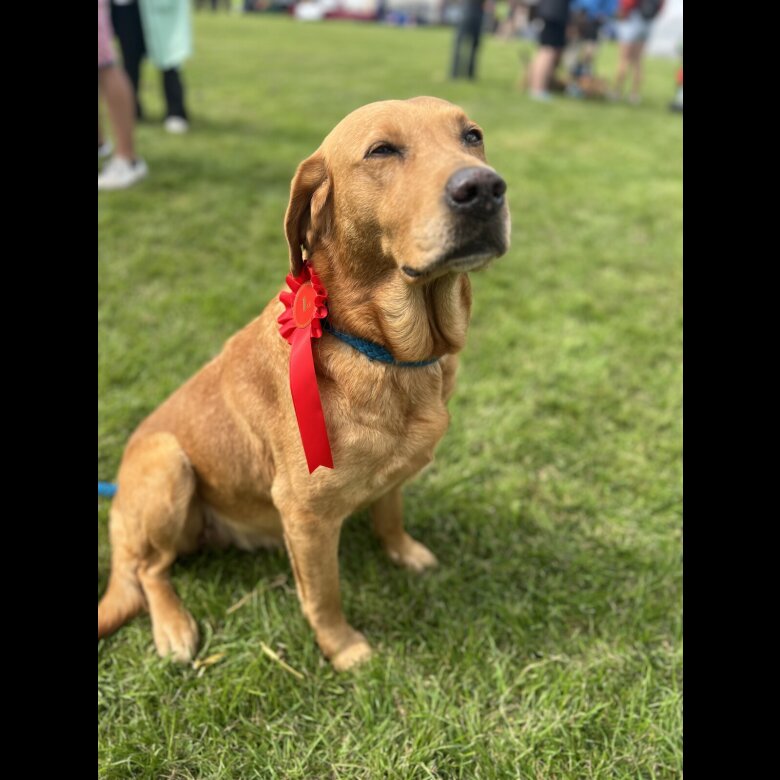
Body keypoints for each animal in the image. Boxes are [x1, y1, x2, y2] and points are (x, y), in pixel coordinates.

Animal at [98, 96, 510, 671]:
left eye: (472, 136)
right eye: (382, 150)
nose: (484, 189)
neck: (385, 351)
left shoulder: (392, 479)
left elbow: (390, 514)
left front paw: (405, 552)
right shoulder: (306, 516)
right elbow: (324, 594)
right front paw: (344, 648)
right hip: (168, 462)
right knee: (149, 570)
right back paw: (174, 627)